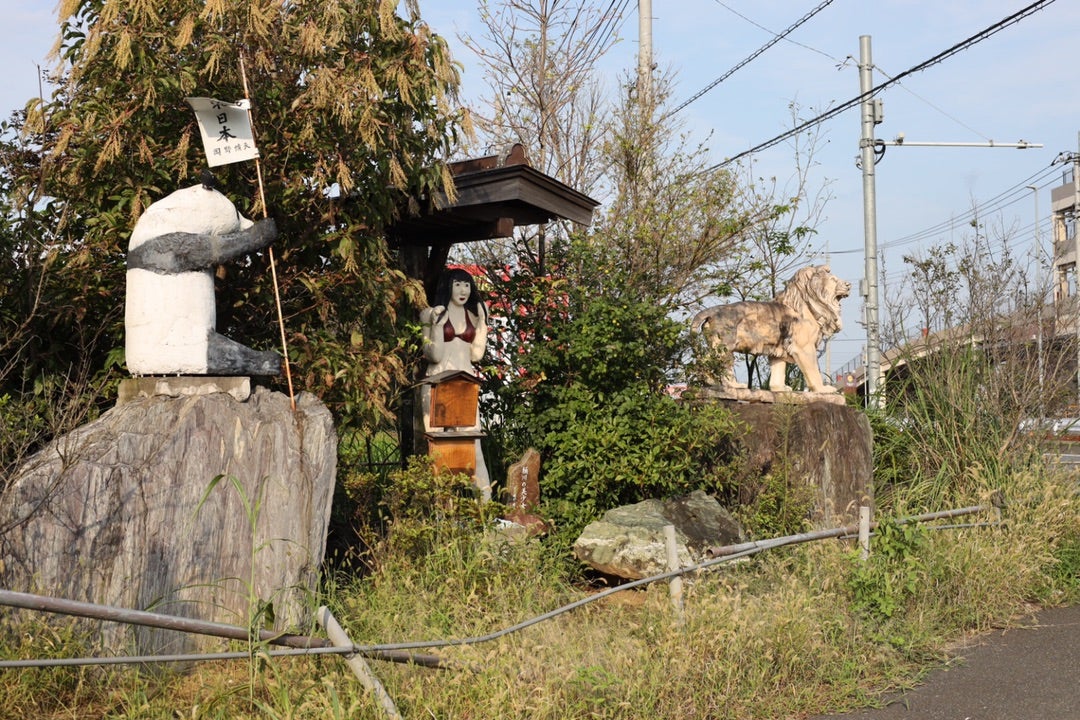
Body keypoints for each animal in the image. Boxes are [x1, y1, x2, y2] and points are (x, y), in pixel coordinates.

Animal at [123, 183, 282, 377]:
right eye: (237, 213)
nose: (250, 223)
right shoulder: (162, 243)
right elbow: (210, 248)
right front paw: (264, 230)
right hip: (184, 343)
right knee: (223, 353)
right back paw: (269, 361)